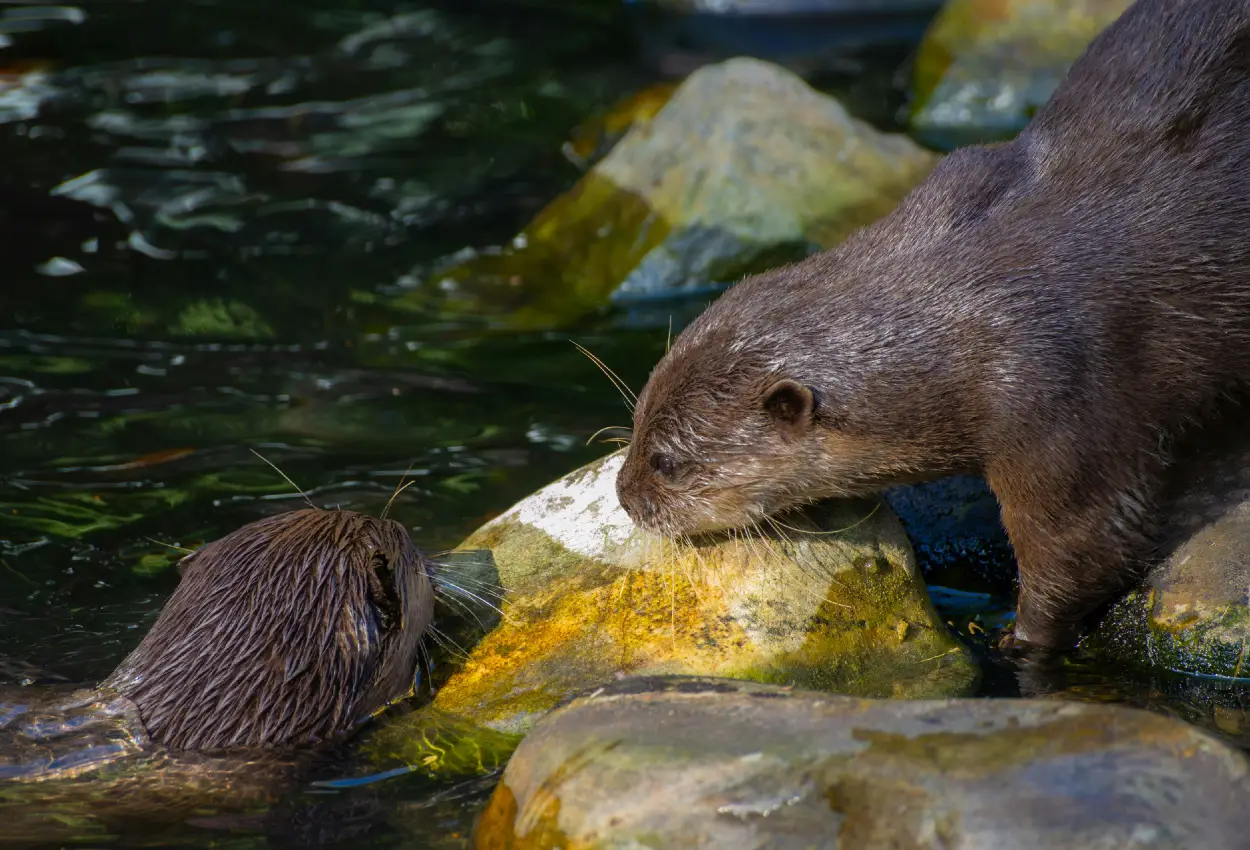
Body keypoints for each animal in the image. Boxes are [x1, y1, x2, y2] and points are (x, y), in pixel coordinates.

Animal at [615, 0, 1250, 651]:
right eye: (635, 421)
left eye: (666, 463)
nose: (624, 496)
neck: (967, 311)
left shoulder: (1061, 402)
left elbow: (1091, 545)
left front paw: (1016, 641)